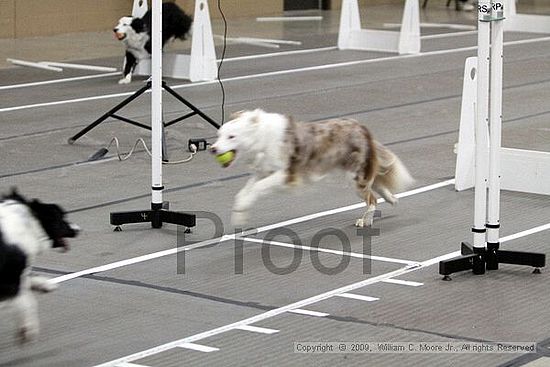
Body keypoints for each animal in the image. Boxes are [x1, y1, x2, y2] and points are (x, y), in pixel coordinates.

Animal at [0, 191, 80, 344]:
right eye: (62, 217)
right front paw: (27, 330)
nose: (78, 230)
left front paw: (45, 285)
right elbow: (28, 302)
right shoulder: (10, 281)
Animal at [211, 109, 414, 227]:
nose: (213, 149)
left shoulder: (285, 174)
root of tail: (361, 127)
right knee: (376, 184)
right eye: (219, 135)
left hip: (354, 176)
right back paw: (391, 199)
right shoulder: (262, 171)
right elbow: (243, 194)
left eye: (231, 136)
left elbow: (257, 188)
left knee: (372, 198)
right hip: (357, 173)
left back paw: (366, 220)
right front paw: (239, 215)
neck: (261, 138)